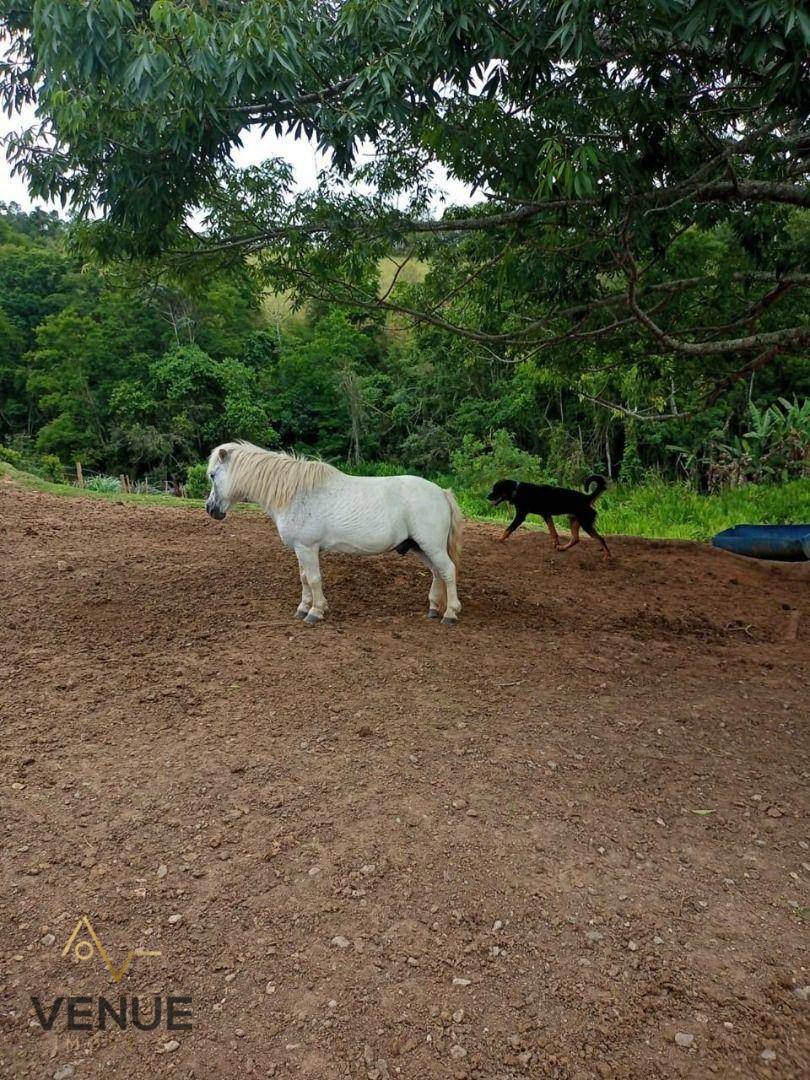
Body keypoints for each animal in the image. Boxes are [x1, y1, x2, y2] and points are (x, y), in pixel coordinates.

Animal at [204, 438, 462, 626]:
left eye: (212, 475)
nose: (210, 509)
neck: (296, 493)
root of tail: (441, 492)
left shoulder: (308, 547)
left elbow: (314, 579)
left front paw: (315, 612)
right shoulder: (300, 549)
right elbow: (304, 578)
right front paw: (303, 608)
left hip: (432, 546)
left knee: (448, 571)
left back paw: (450, 613)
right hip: (420, 547)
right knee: (437, 573)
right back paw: (433, 609)